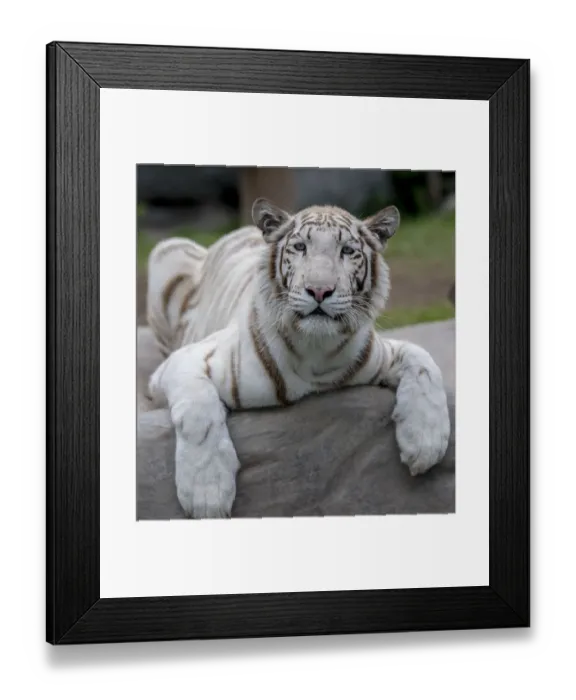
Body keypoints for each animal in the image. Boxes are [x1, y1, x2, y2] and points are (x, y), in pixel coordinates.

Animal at [146, 198, 451, 519]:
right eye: (300, 247)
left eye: (347, 251)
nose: (319, 290)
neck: (314, 351)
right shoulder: (187, 359)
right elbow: (198, 415)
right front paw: (207, 495)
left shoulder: (377, 351)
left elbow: (424, 362)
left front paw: (426, 443)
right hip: (167, 251)